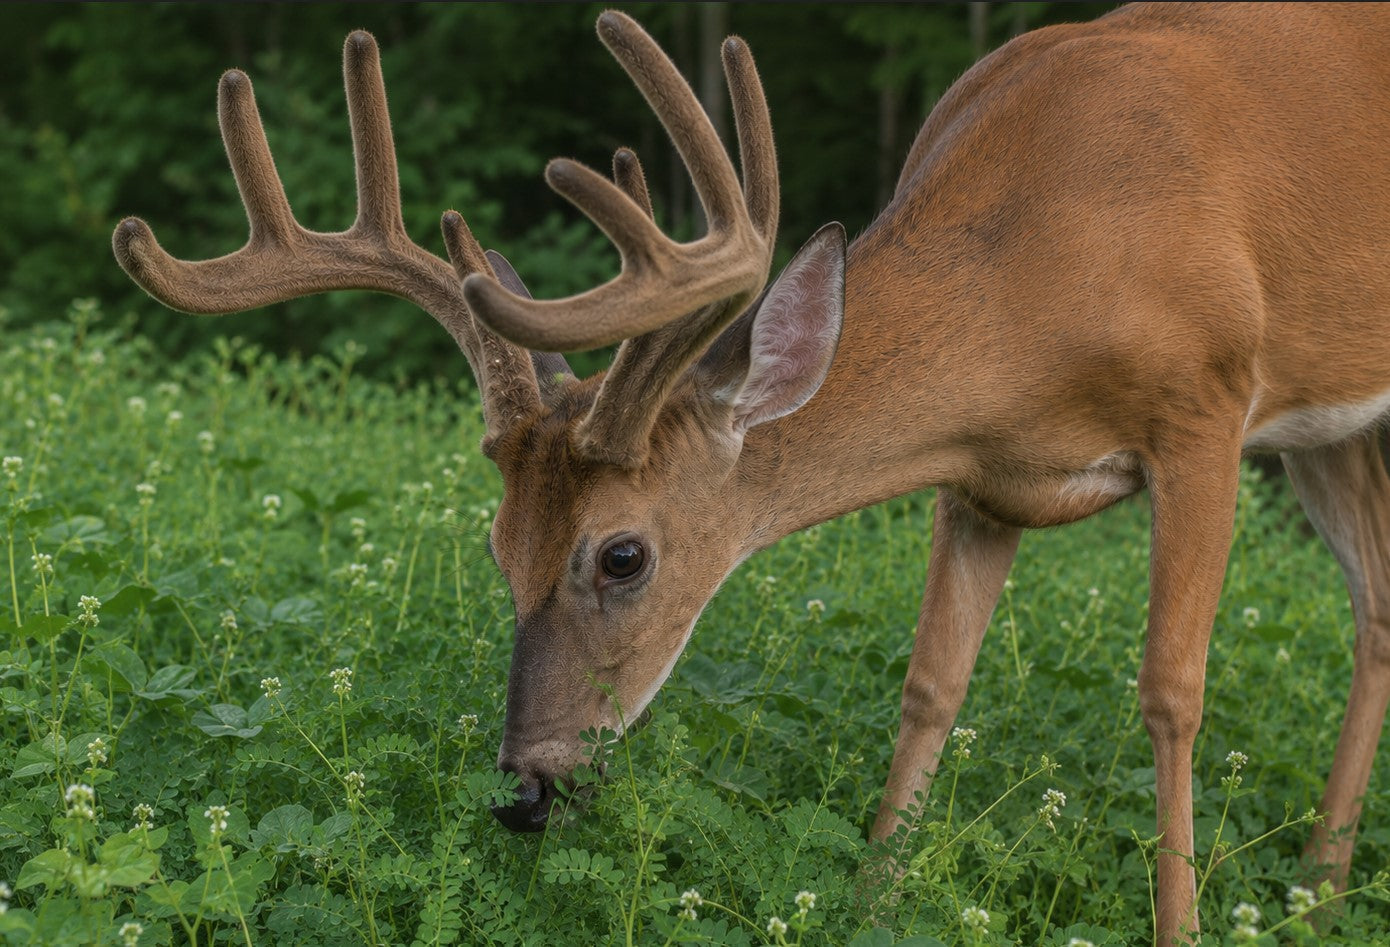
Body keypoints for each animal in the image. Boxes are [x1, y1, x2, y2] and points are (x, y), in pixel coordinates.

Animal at [111, 4, 1390, 942]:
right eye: (496, 543)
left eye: (623, 552)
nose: (523, 789)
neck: (1044, 267)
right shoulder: (978, 481)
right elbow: (930, 684)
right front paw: (870, 895)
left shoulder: (1208, 409)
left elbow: (1171, 689)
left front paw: (1178, 922)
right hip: (1331, 433)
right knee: (1377, 608)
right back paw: (1322, 890)